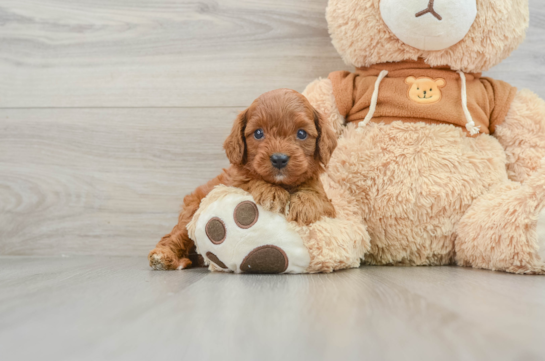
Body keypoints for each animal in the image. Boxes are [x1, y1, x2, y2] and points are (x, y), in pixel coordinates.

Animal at [149, 88, 336, 270]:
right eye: (259, 133)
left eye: (302, 133)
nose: (279, 159)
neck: (282, 183)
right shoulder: (234, 181)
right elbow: (249, 180)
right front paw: (272, 193)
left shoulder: (328, 203)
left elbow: (316, 196)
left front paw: (304, 205)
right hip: (191, 212)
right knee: (174, 236)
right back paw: (163, 256)